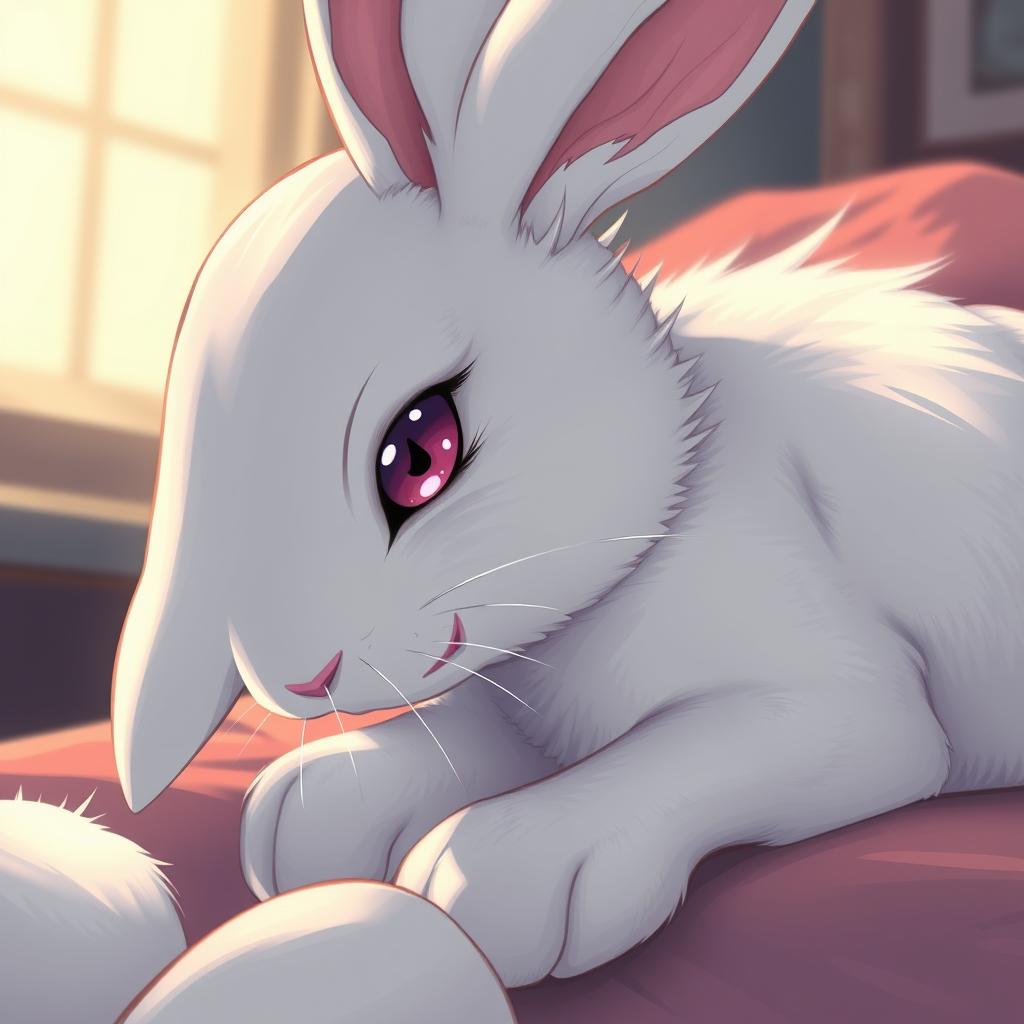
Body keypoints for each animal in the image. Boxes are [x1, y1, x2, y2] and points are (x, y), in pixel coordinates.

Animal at [90, 0, 1024, 1017]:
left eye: (421, 453)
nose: (295, 681)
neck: (670, 505)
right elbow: (458, 736)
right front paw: (314, 809)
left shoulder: (841, 706)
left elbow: (691, 752)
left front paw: (504, 869)